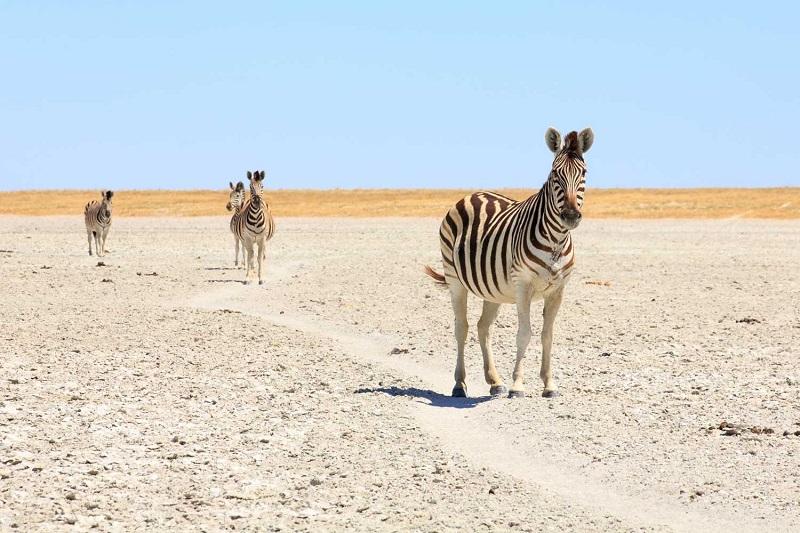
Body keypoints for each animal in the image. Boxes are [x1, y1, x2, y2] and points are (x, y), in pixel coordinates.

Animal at [424, 127, 592, 396]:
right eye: (555, 174)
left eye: (583, 173)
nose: (570, 216)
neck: (556, 240)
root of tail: (473, 194)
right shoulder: (523, 285)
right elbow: (524, 333)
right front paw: (518, 385)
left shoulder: (558, 290)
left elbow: (547, 335)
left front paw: (549, 385)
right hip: (454, 279)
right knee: (462, 328)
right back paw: (460, 384)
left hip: (493, 290)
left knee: (483, 327)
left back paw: (495, 381)